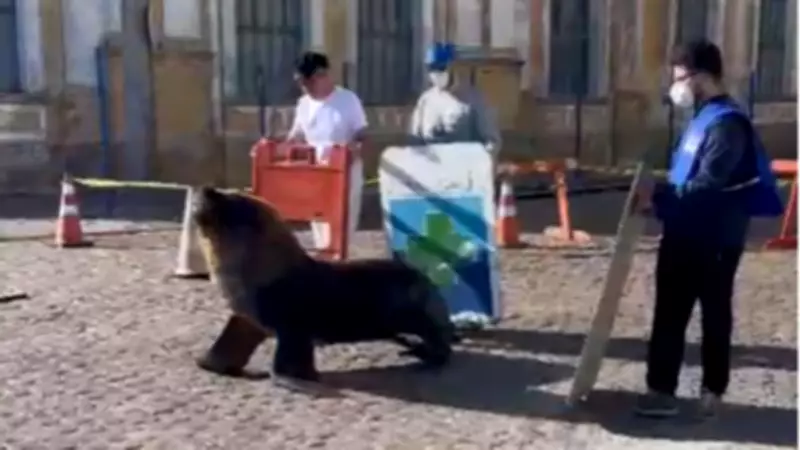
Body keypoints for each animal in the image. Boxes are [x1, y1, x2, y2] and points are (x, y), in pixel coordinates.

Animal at [192, 187, 455, 389]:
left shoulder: (292, 323)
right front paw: (206, 362)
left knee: (441, 341)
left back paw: (429, 359)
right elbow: (228, 343)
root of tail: (426, 281)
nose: (206, 188)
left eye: (230, 202)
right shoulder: (246, 318)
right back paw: (412, 350)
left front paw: (293, 380)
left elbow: (288, 357)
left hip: (415, 316)